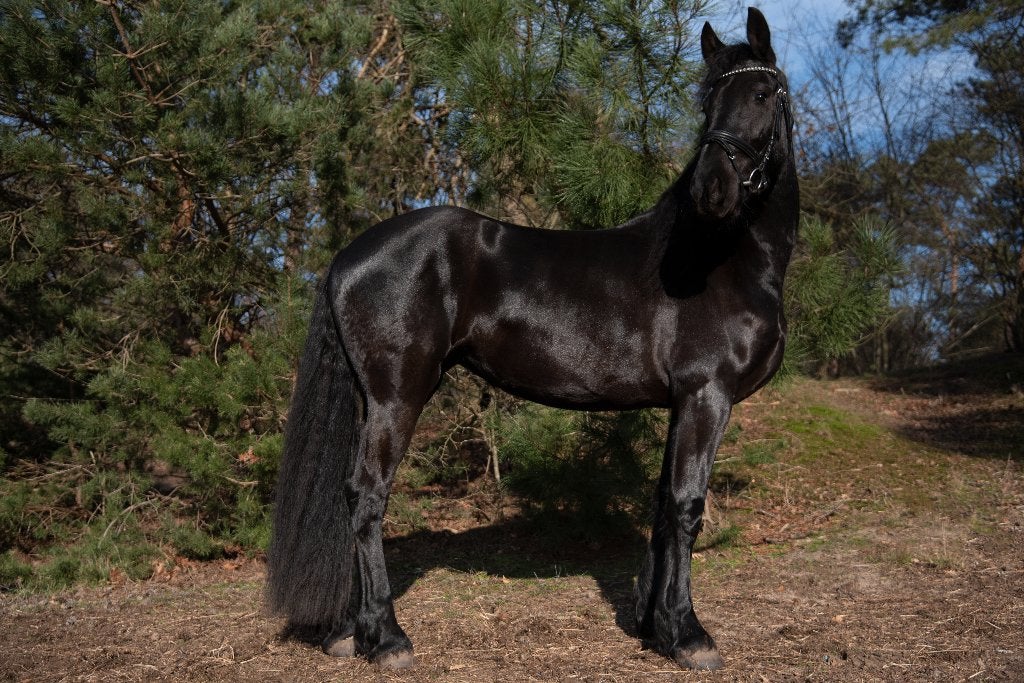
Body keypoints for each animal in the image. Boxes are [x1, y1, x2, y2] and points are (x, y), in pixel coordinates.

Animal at [266, 6, 797, 672]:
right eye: (708, 103)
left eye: (760, 94)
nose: (711, 191)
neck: (719, 256)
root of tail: (346, 256)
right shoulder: (707, 396)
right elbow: (685, 506)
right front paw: (691, 635)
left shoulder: (683, 402)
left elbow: (661, 504)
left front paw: (654, 627)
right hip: (396, 397)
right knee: (366, 497)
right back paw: (386, 638)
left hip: (374, 399)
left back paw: (349, 633)